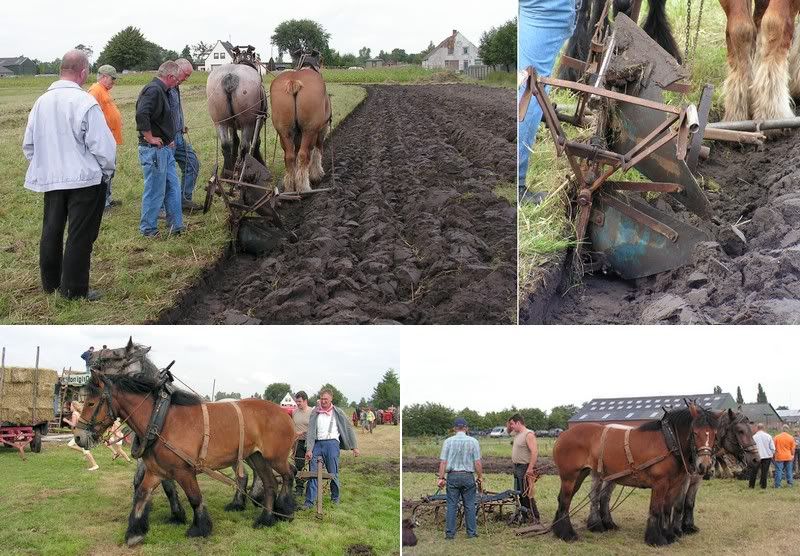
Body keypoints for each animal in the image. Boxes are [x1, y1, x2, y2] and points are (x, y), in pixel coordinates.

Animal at [72, 338, 294, 548]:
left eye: (91, 403)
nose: (78, 437)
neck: (160, 418)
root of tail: (284, 413)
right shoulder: (156, 470)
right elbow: (142, 493)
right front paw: (135, 532)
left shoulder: (184, 471)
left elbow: (195, 498)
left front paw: (199, 527)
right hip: (256, 457)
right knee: (270, 483)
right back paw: (265, 518)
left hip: (275, 457)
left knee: (288, 474)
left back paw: (286, 508)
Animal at [268, 50, 332, 193]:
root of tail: (294, 81)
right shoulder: (321, 130)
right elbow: (317, 151)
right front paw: (317, 174)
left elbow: (296, 153)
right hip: (309, 130)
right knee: (304, 154)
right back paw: (304, 187)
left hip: (284, 131)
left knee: (290, 156)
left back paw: (291, 187)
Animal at [552, 400, 720, 548]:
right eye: (695, 433)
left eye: (714, 434)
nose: (705, 465)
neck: (669, 441)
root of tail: (563, 434)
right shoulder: (660, 484)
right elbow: (656, 510)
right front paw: (655, 539)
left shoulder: (674, 485)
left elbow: (667, 510)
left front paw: (669, 535)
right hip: (570, 476)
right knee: (566, 501)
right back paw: (567, 534)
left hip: (581, 475)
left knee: (565, 499)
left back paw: (558, 530)